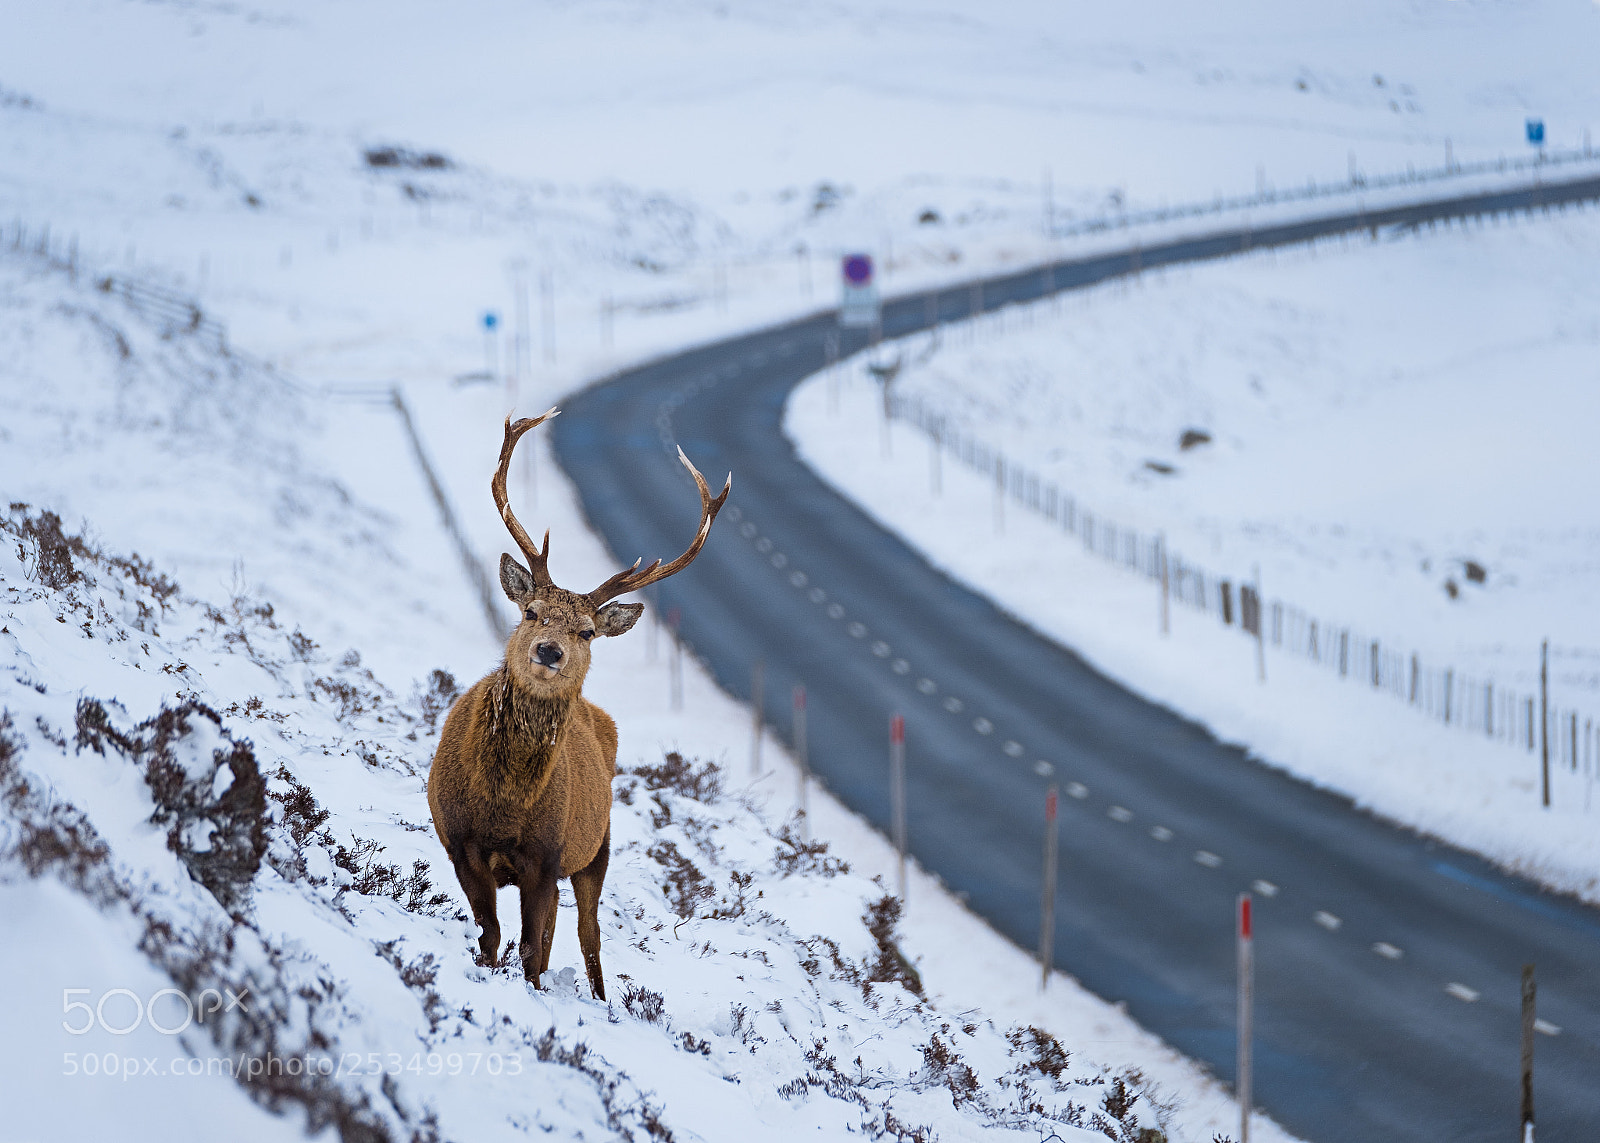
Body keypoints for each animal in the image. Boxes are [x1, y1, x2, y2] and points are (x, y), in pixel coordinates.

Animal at [427, 409, 730, 997]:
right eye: (531, 612)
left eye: (587, 631)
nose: (549, 651)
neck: (502, 806)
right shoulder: (460, 843)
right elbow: (490, 935)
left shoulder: (546, 858)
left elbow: (530, 949)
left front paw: (531, 993)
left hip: (597, 847)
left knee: (587, 934)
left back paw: (601, 998)